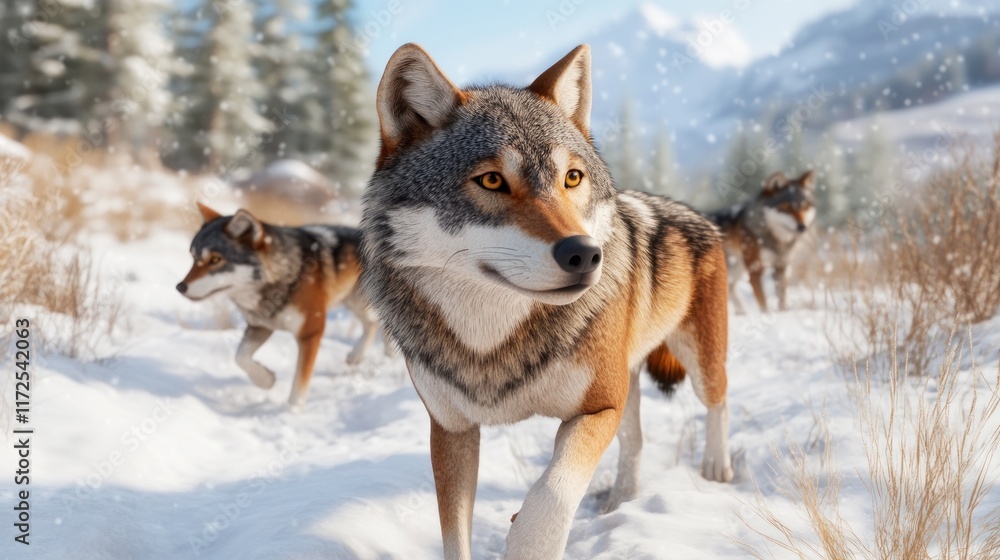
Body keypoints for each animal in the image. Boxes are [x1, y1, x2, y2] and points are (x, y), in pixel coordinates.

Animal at [177, 204, 383, 408]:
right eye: (193, 258)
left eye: (215, 259)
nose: (180, 287)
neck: (286, 275)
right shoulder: (260, 326)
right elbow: (240, 357)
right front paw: (265, 380)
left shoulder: (311, 332)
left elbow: (299, 385)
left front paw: (292, 412)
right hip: (355, 304)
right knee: (372, 324)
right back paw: (361, 357)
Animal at [359, 43, 733, 559]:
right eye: (491, 180)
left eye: (572, 178)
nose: (585, 254)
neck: (492, 344)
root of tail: (691, 211)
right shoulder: (451, 431)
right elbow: (454, 535)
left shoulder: (597, 408)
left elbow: (551, 493)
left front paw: (529, 544)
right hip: (629, 384)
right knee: (635, 441)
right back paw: (621, 500)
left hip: (697, 361)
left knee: (718, 400)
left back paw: (716, 469)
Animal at [709, 170, 816, 314]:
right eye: (786, 207)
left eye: (805, 207)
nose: (802, 226)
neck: (776, 241)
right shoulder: (756, 270)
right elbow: (763, 302)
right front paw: (766, 314)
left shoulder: (781, 267)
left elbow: (782, 299)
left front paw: (783, 313)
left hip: (735, 269)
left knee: (730, 288)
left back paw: (742, 312)